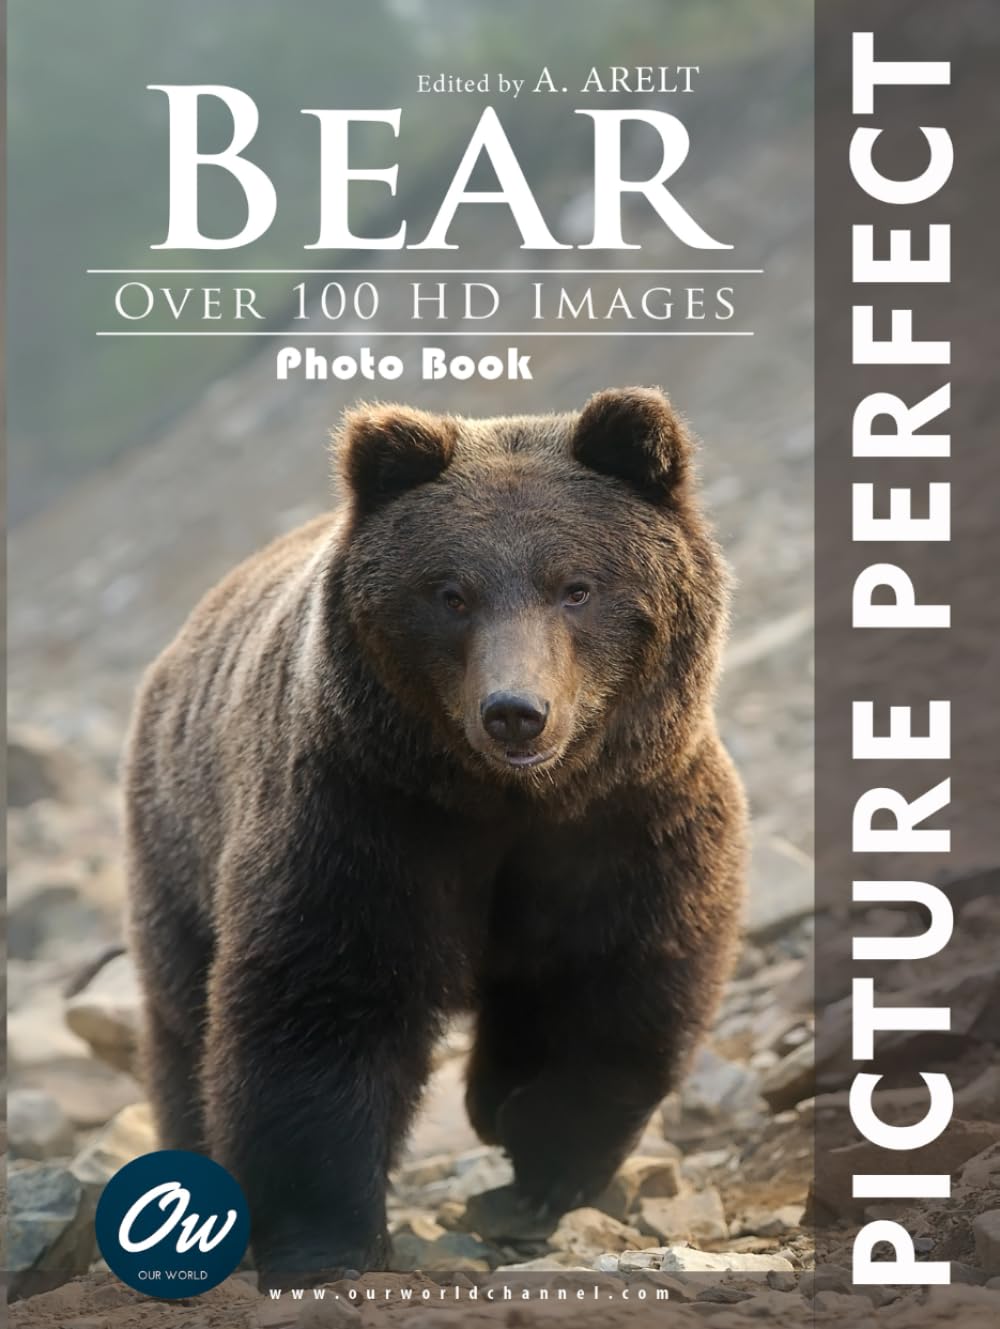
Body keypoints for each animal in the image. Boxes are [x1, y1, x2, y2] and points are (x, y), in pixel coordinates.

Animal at [123, 386, 747, 1284]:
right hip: (178, 840)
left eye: (576, 586)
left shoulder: (628, 819)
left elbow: (614, 982)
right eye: (451, 592)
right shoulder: (365, 817)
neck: (510, 797)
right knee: (182, 1016)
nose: (516, 710)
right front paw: (327, 1241)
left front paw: (544, 1154)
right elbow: (321, 1004)